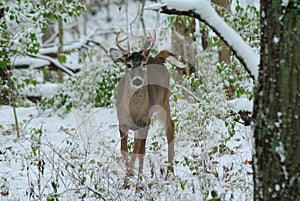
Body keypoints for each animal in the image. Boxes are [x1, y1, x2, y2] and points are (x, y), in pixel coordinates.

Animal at [109, 32, 175, 175]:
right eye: (128, 65)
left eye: (144, 64)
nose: (137, 81)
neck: (133, 110)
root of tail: (158, 58)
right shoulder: (122, 122)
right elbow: (124, 151)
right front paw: (129, 173)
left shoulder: (145, 122)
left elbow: (138, 152)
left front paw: (134, 175)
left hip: (163, 102)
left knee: (170, 126)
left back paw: (170, 171)